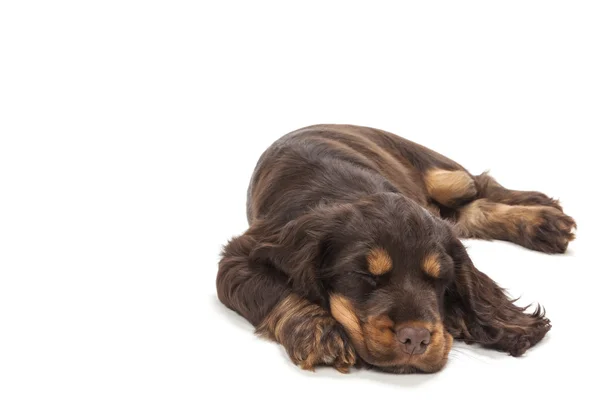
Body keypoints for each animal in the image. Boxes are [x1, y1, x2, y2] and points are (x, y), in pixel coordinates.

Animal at [216, 123, 576, 374]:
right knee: (471, 210)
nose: (415, 339)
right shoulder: (241, 255)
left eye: (439, 279)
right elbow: (276, 291)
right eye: (363, 275)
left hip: (443, 176)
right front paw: (319, 331)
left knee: (480, 185)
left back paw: (545, 215)